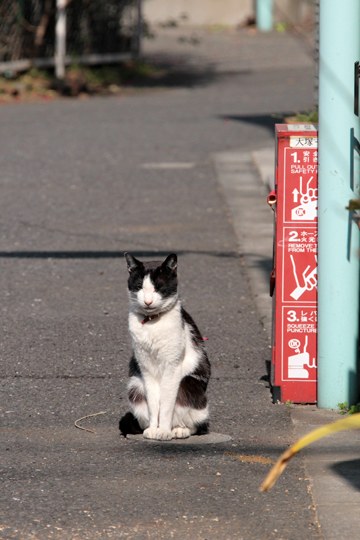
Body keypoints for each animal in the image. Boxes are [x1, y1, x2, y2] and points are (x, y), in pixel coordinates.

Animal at [119, 253, 210, 438]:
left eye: (158, 287)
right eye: (139, 287)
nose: (147, 301)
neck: (152, 322)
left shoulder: (172, 367)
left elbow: (167, 405)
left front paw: (164, 431)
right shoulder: (146, 368)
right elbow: (155, 404)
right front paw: (155, 429)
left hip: (188, 384)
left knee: (195, 424)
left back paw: (178, 430)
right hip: (136, 387)